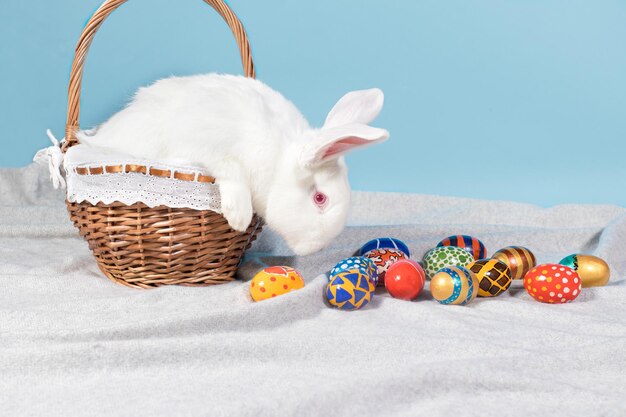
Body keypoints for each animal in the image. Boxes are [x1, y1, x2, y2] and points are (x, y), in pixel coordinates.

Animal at [79, 74, 386, 255]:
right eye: (320, 198)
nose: (314, 250)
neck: (277, 160)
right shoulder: (207, 148)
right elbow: (231, 169)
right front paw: (239, 216)